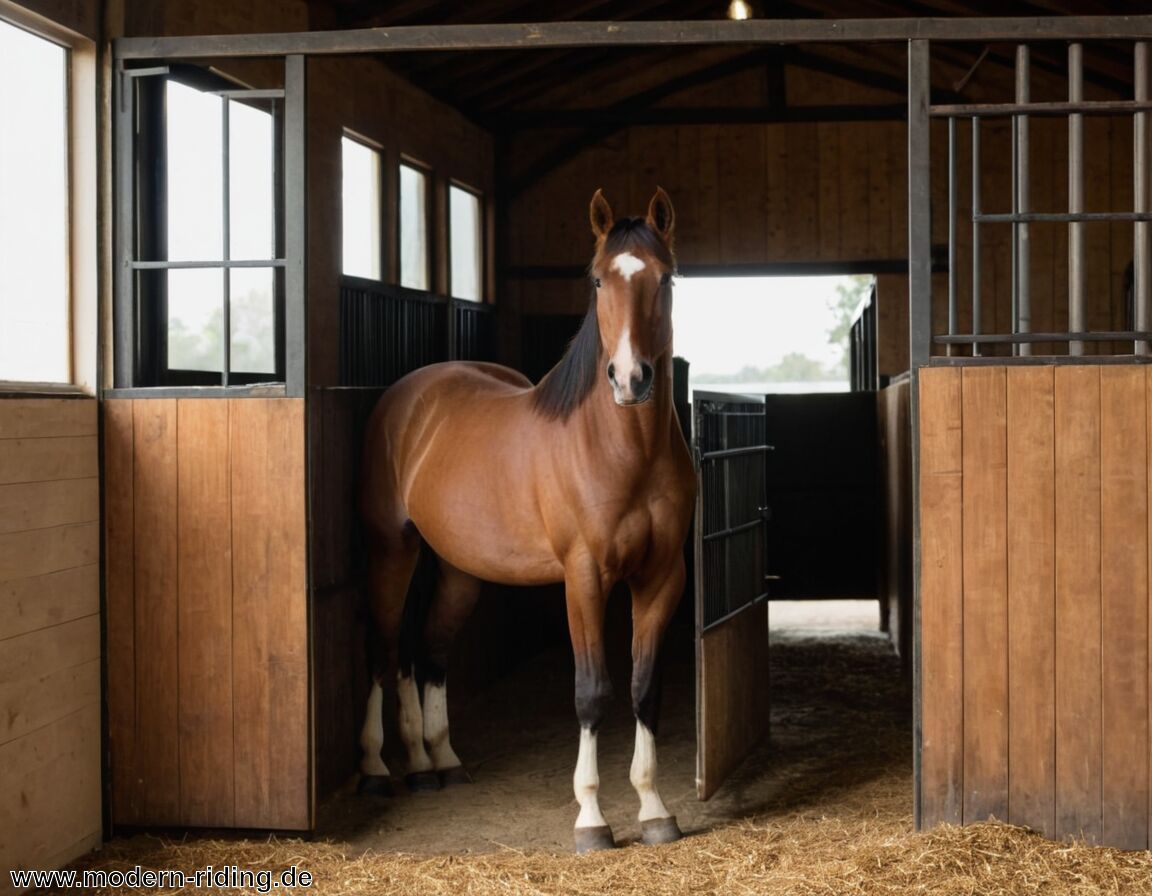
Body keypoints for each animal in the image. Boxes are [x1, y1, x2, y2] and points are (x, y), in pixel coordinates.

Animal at [357, 187, 696, 853]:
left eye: (665, 278)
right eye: (598, 280)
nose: (631, 379)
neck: (625, 451)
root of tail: (407, 397)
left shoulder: (661, 578)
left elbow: (646, 689)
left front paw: (653, 808)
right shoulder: (584, 578)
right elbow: (592, 692)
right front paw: (591, 818)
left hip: (459, 569)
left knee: (427, 649)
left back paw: (436, 762)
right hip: (392, 551)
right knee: (383, 647)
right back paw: (380, 768)